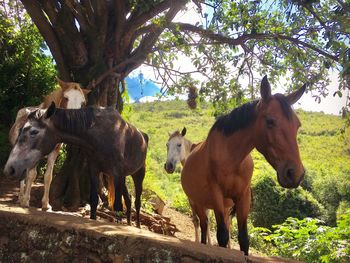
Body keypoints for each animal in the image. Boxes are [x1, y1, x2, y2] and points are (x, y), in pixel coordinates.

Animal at [5, 102, 148, 228]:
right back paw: (129, 223)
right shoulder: (95, 169)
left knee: (137, 201)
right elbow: (94, 200)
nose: (9, 169)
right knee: (128, 200)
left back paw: (138, 225)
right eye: (20, 130)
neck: (103, 133)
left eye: (34, 132)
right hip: (122, 177)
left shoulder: (117, 172)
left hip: (138, 174)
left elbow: (118, 205)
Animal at [8, 79, 89, 211]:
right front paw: (26, 201)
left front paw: (46, 204)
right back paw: (21, 198)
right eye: (66, 98)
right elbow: (32, 175)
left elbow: (48, 177)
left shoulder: (53, 153)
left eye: (83, 103)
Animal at [182, 76, 304, 256]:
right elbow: (222, 236)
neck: (232, 159)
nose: (295, 174)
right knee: (203, 228)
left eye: (297, 125)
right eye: (270, 121)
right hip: (197, 204)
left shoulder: (243, 198)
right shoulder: (217, 196)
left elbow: (244, 239)